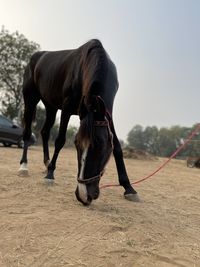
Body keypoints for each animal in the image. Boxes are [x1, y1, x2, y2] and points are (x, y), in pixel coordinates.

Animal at [19, 39, 139, 206]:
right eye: (76, 144)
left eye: (100, 147)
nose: (83, 195)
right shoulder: (67, 107)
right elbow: (60, 140)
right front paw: (50, 175)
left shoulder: (107, 114)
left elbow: (117, 148)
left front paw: (129, 188)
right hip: (30, 98)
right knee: (27, 132)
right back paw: (24, 166)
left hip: (50, 106)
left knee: (44, 132)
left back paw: (46, 163)